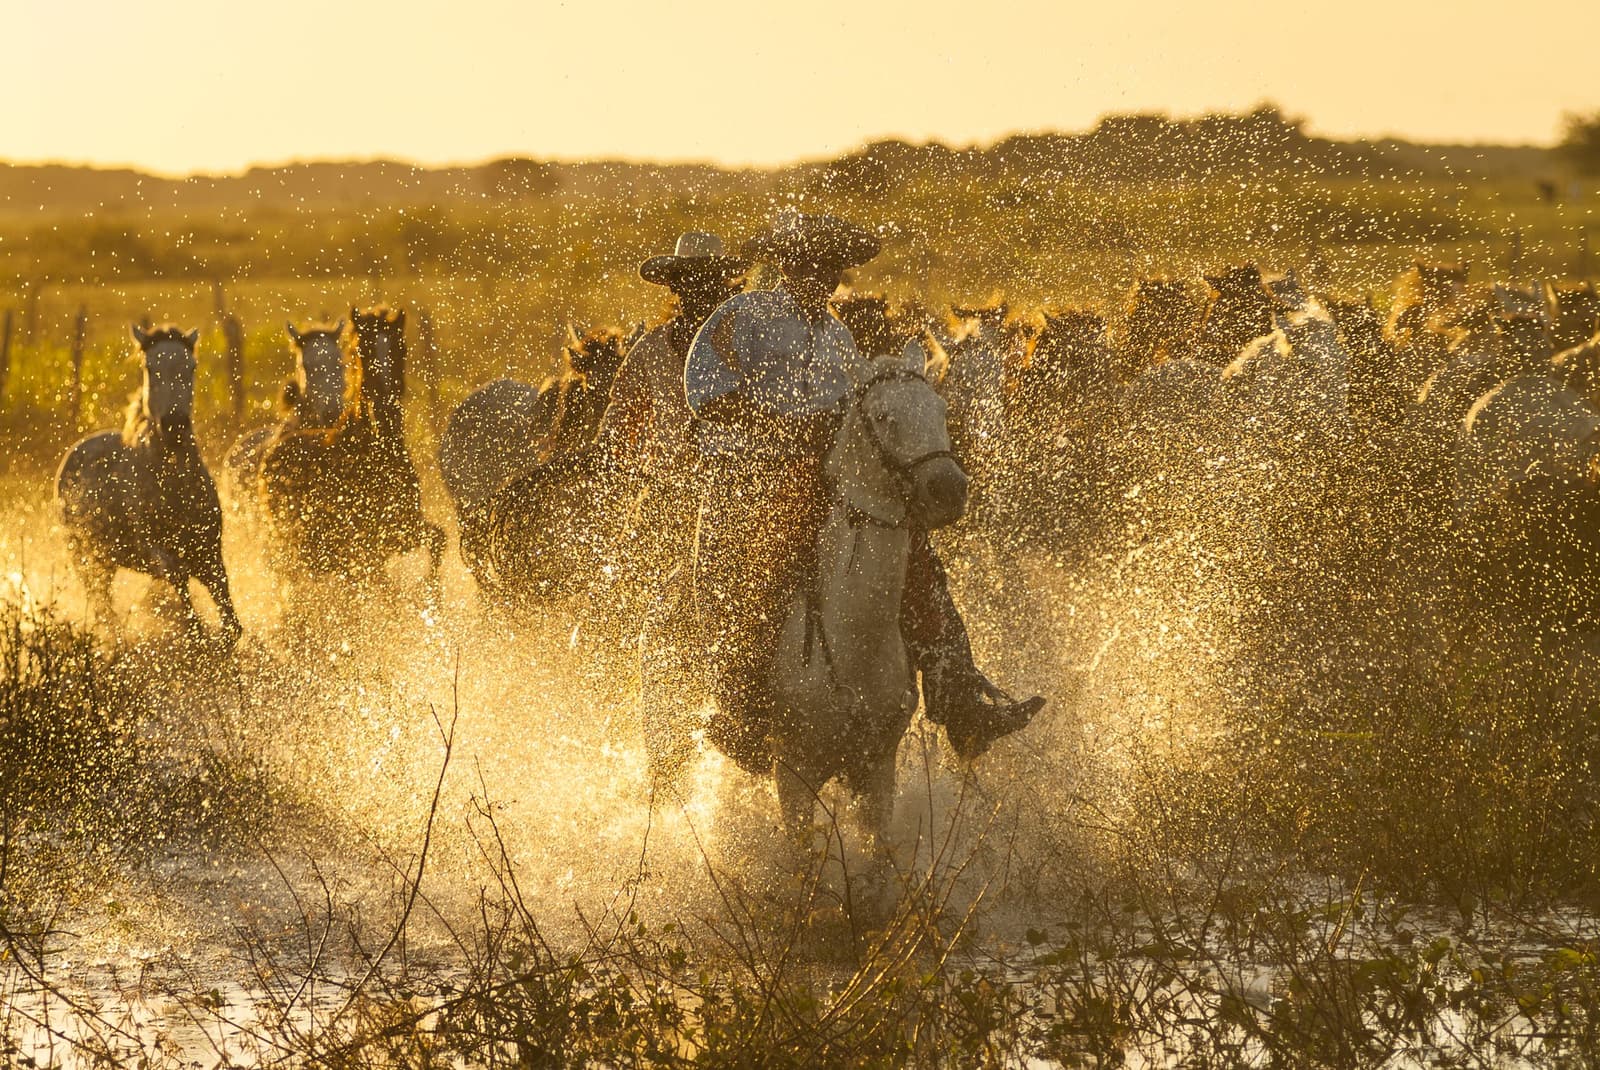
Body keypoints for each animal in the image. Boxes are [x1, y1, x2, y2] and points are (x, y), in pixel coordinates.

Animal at [56, 324, 241, 645]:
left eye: (191, 366)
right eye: (150, 368)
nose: (174, 425)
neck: (175, 483)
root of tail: (75, 450)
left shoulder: (209, 550)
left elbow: (230, 617)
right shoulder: (157, 552)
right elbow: (179, 579)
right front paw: (195, 633)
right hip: (86, 559)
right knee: (103, 607)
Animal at [258, 306, 443, 602]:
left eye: (400, 348)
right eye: (363, 350)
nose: (384, 408)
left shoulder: (404, 531)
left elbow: (438, 540)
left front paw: (433, 600)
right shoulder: (365, 551)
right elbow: (386, 589)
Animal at [644, 345, 968, 842]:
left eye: (941, 410)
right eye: (884, 416)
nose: (948, 489)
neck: (854, 638)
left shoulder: (876, 771)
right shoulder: (794, 774)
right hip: (668, 740)